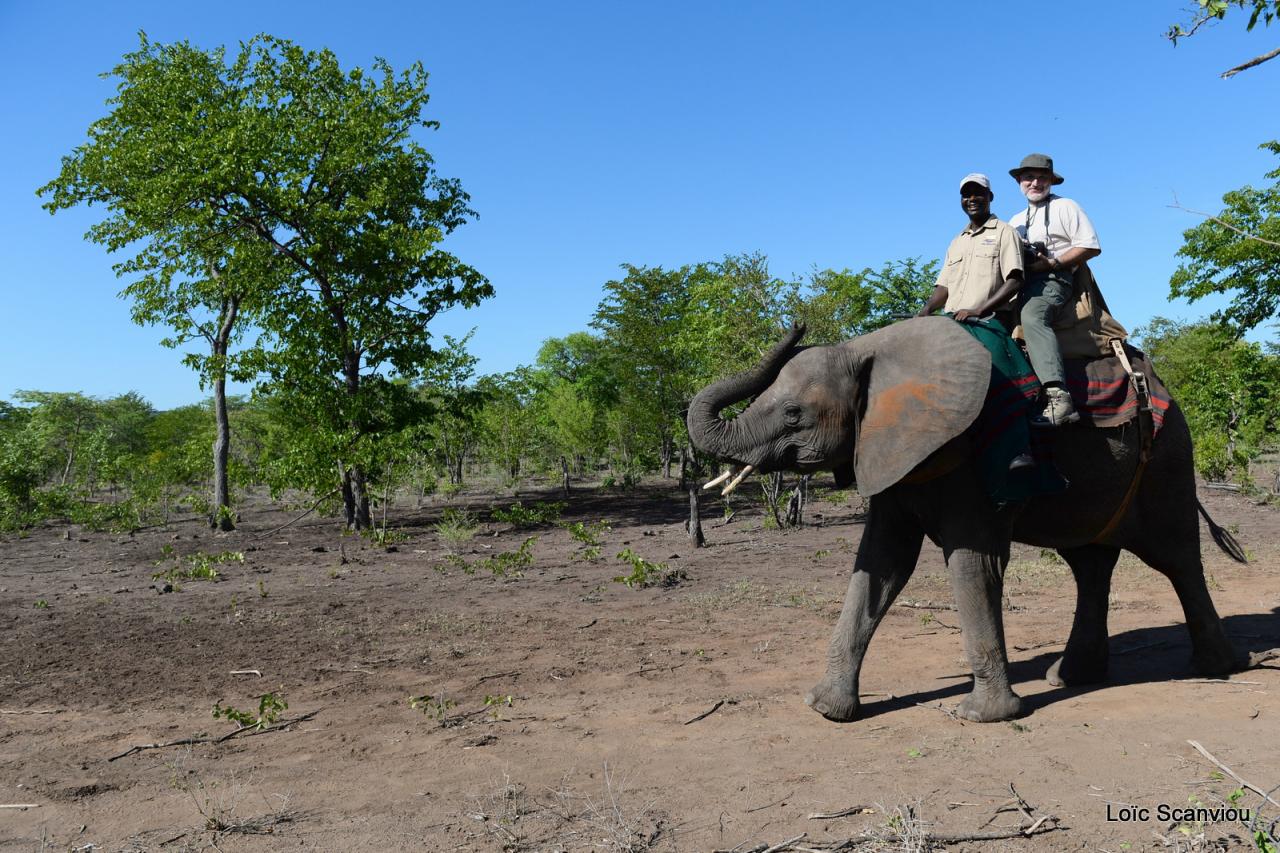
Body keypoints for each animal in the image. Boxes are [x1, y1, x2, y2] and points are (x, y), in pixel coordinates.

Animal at [686, 317, 1244, 717]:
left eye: (793, 415)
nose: (798, 322)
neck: (866, 348)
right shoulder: (893, 452)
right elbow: (881, 565)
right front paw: (825, 708)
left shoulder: (974, 456)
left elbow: (973, 564)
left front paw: (981, 715)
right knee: (1090, 564)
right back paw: (1070, 677)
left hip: (1168, 459)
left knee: (1176, 558)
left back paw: (1216, 668)